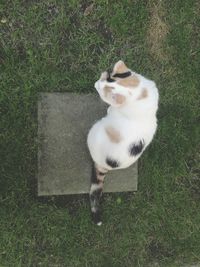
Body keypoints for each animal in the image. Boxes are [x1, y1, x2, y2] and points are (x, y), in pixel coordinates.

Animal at [86, 60, 159, 226]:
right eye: (102, 77)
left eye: (101, 92)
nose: (94, 84)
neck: (138, 93)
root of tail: (106, 165)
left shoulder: (115, 110)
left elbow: (111, 110)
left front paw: (108, 109)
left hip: (94, 130)